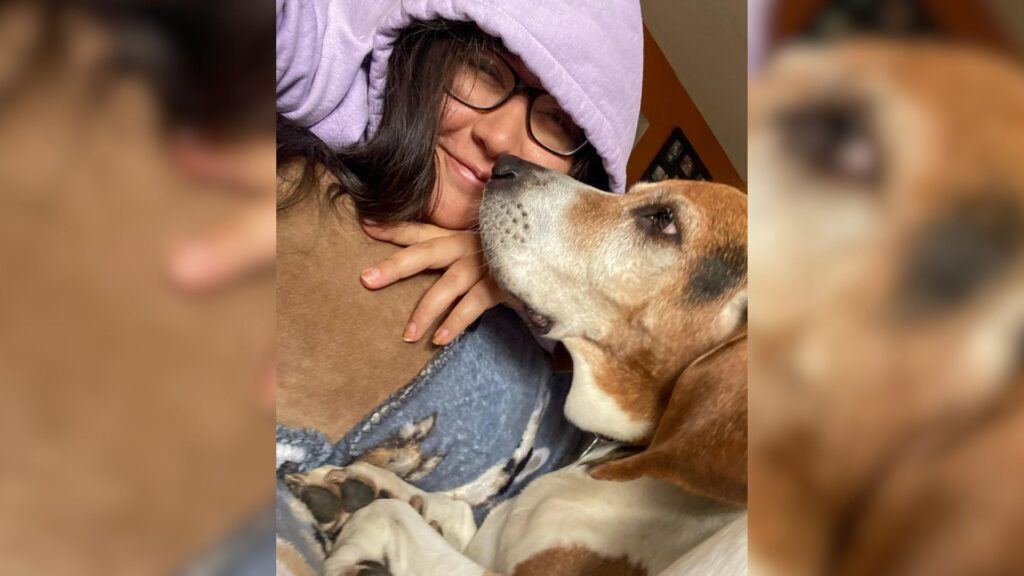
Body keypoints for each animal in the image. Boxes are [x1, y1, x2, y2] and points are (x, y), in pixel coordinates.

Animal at [284, 155, 750, 576]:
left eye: (664, 221)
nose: (504, 164)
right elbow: (451, 513)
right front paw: (366, 487)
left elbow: (393, 518)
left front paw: (358, 530)